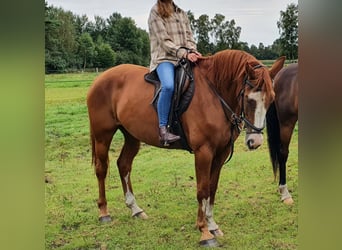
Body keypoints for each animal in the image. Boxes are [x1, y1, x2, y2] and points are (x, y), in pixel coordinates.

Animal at [87, 49, 284, 246]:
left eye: (272, 99)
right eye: (249, 99)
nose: (255, 141)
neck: (214, 95)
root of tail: (100, 78)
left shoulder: (221, 153)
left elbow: (212, 188)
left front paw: (212, 225)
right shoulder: (203, 152)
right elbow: (202, 189)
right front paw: (204, 232)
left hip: (131, 136)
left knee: (124, 165)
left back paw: (135, 208)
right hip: (103, 136)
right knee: (101, 169)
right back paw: (104, 212)